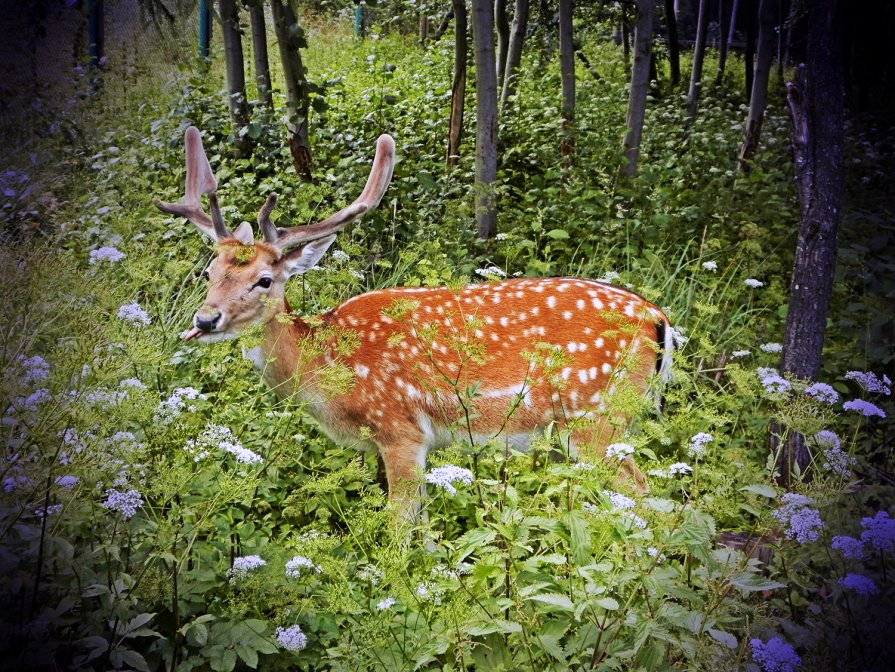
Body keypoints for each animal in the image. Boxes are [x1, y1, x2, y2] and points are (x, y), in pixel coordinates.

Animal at [154, 126, 672, 512]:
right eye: (210, 271)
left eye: (264, 279)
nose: (205, 319)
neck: (327, 367)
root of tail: (659, 320)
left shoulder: (400, 429)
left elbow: (402, 532)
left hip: (596, 415)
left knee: (648, 496)